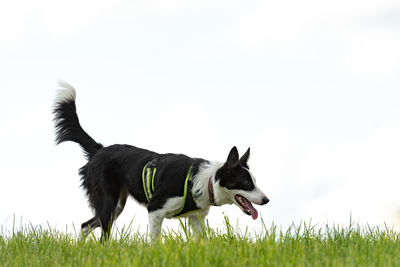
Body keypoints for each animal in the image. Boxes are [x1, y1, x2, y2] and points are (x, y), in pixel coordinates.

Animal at [53, 82, 270, 241]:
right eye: (245, 182)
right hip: (108, 201)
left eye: (255, 181)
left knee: (85, 226)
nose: (267, 200)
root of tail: (99, 149)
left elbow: (203, 242)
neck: (204, 181)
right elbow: (155, 242)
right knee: (102, 236)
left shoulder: (196, 219)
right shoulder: (155, 211)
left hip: (116, 206)